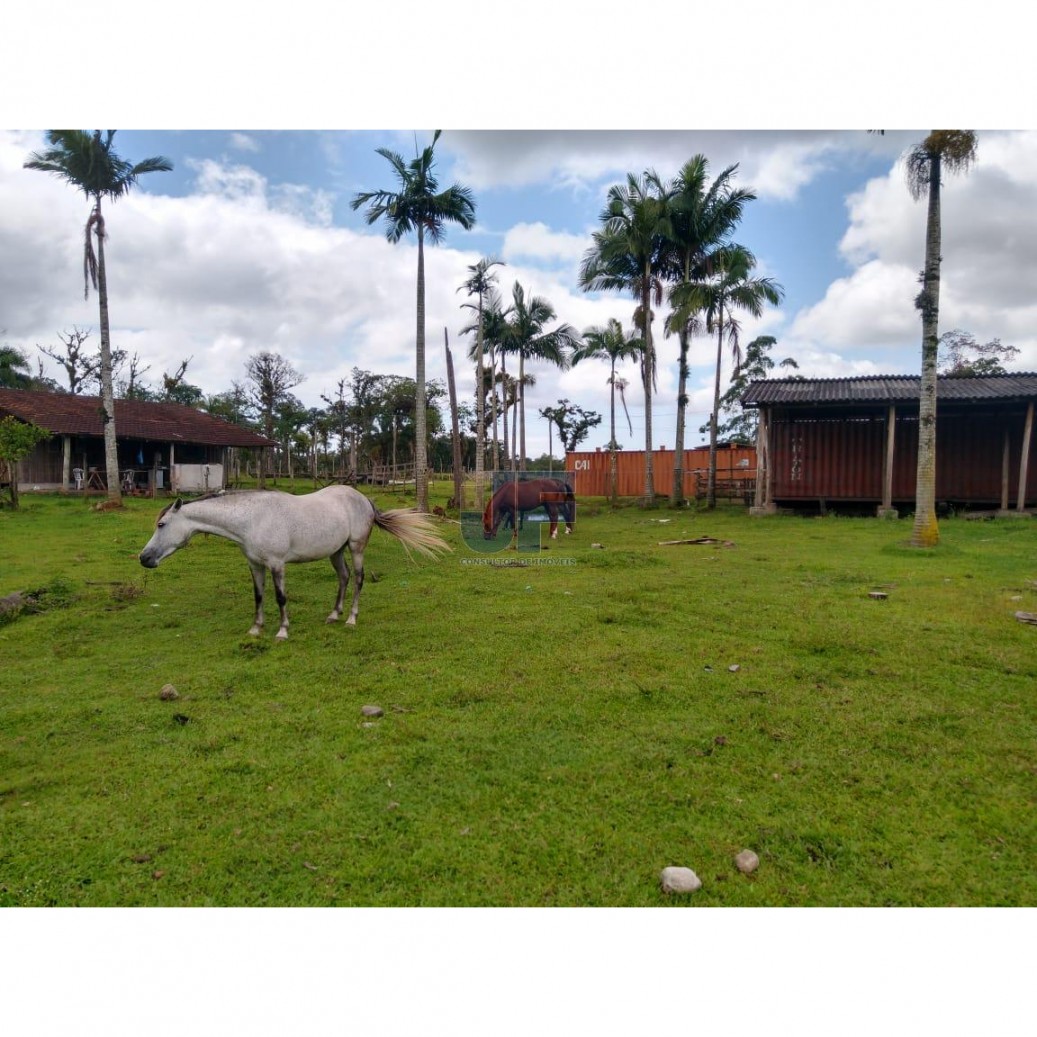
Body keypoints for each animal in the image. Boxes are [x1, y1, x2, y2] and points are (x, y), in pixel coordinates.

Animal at [137, 485, 450, 638]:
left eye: (162, 524)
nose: (144, 558)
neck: (252, 518)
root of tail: (362, 498)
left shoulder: (277, 564)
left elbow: (280, 597)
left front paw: (282, 631)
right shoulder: (255, 565)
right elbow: (258, 596)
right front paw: (256, 628)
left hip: (356, 547)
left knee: (359, 579)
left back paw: (350, 618)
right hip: (335, 551)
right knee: (344, 577)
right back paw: (334, 614)